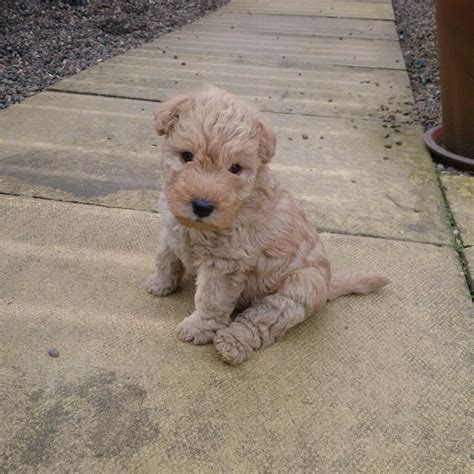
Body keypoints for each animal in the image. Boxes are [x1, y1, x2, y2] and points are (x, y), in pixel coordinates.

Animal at [146, 85, 390, 364]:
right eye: (186, 156)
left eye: (235, 168)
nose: (203, 206)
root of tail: (328, 284)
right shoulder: (170, 229)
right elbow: (165, 258)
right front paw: (160, 283)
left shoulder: (225, 264)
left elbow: (211, 299)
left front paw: (198, 327)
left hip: (295, 291)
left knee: (263, 319)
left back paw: (232, 342)